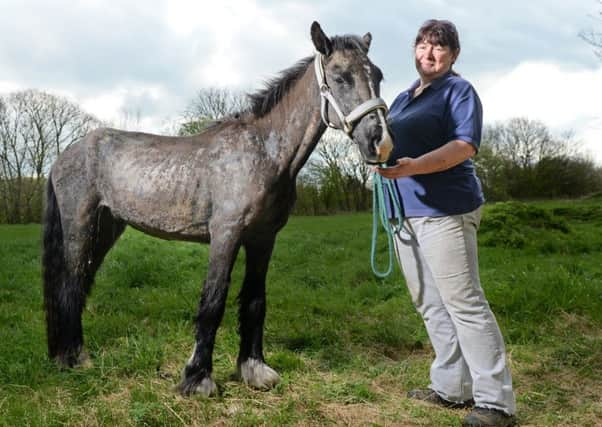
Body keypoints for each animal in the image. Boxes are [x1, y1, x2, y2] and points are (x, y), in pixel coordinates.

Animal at [41, 20, 390, 398]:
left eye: (379, 75)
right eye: (340, 76)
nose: (380, 142)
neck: (264, 152)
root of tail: (65, 155)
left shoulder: (263, 239)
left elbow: (254, 301)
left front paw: (254, 369)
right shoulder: (226, 234)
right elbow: (213, 302)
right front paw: (198, 378)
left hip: (107, 227)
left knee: (81, 282)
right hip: (80, 225)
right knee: (70, 284)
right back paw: (74, 358)